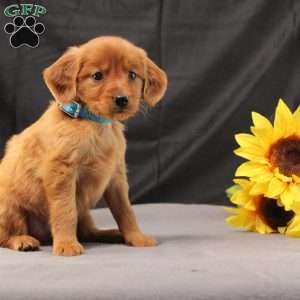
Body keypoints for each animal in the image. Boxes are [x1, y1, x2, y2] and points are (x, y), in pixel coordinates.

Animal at [0, 35, 168, 255]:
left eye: (132, 75)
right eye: (97, 76)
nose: (122, 99)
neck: (94, 124)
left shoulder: (116, 177)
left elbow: (126, 211)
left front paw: (137, 237)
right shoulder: (61, 173)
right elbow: (65, 210)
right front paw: (66, 245)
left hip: (86, 213)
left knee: (88, 231)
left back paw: (111, 233)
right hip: (9, 206)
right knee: (5, 235)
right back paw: (22, 240)